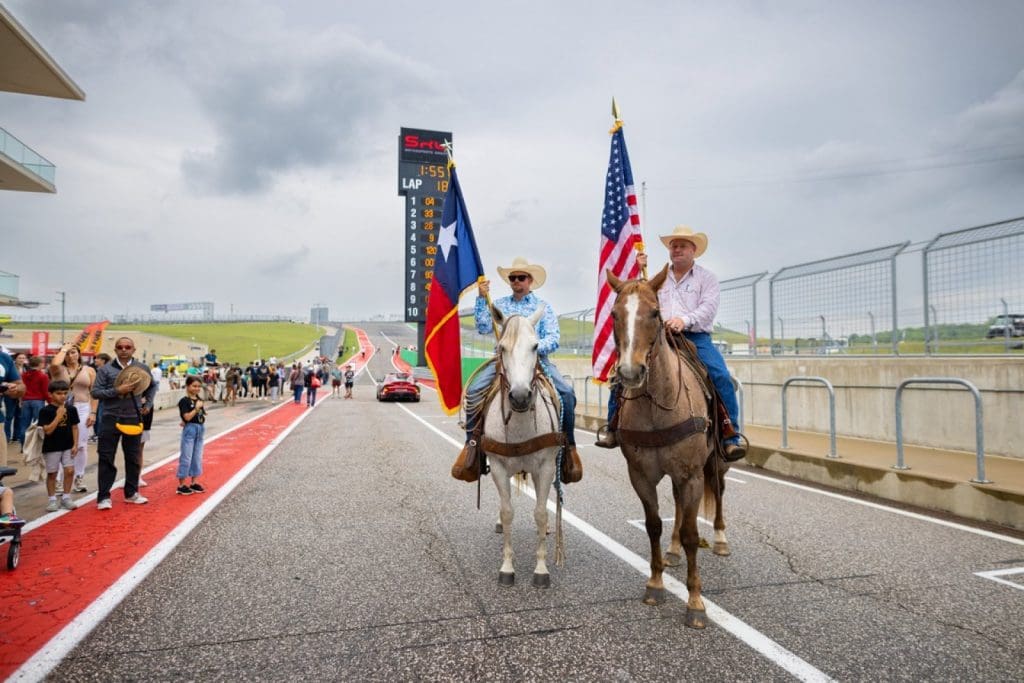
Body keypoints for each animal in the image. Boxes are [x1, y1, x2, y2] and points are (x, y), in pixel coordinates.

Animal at [481, 305, 565, 589]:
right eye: (501, 347)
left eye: (535, 346)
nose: (519, 397)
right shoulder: (497, 466)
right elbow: (507, 512)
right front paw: (507, 567)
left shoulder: (546, 467)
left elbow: (540, 514)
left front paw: (541, 570)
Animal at [606, 266, 729, 630]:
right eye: (614, 314)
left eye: (655, 314)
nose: (630, 372)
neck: (656, 406)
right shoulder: (641, 475)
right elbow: (654, 525)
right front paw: (656, 584)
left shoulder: (691, 475)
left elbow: (691, 533)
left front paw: (695, 603)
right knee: (676, 506)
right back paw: (673, 552)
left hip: (716, 462)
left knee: (719, 490)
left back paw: (720, 539)